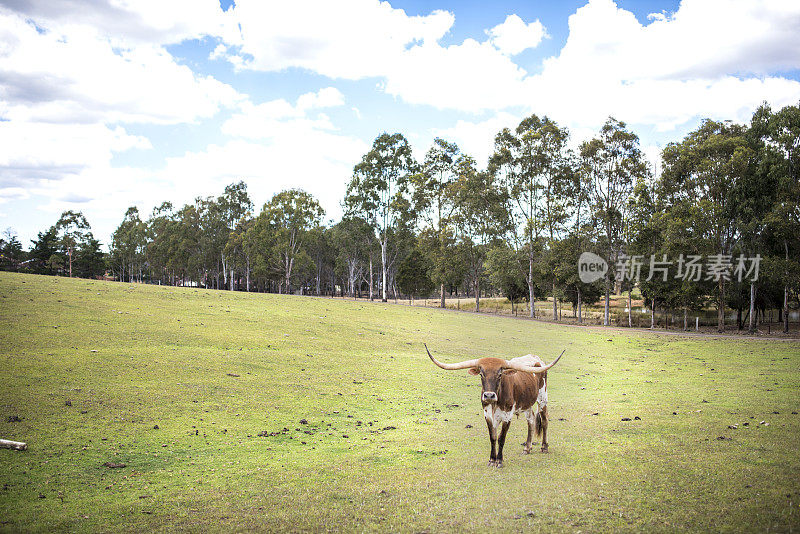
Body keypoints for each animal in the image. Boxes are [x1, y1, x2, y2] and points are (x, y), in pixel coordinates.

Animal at [424, 346, 564, 466]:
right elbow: (493, 437)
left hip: (542, 398)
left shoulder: (507, 415)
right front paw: (492, 459)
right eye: (481, 374)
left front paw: (499, 460)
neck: (495, 403)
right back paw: (527, 448)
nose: (489, 395)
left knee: (544, 420)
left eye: (500, 374)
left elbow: (501, 437)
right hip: (526, 403)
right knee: (531, 420)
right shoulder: (488, 415)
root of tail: (536, 358)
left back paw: (544, 447)